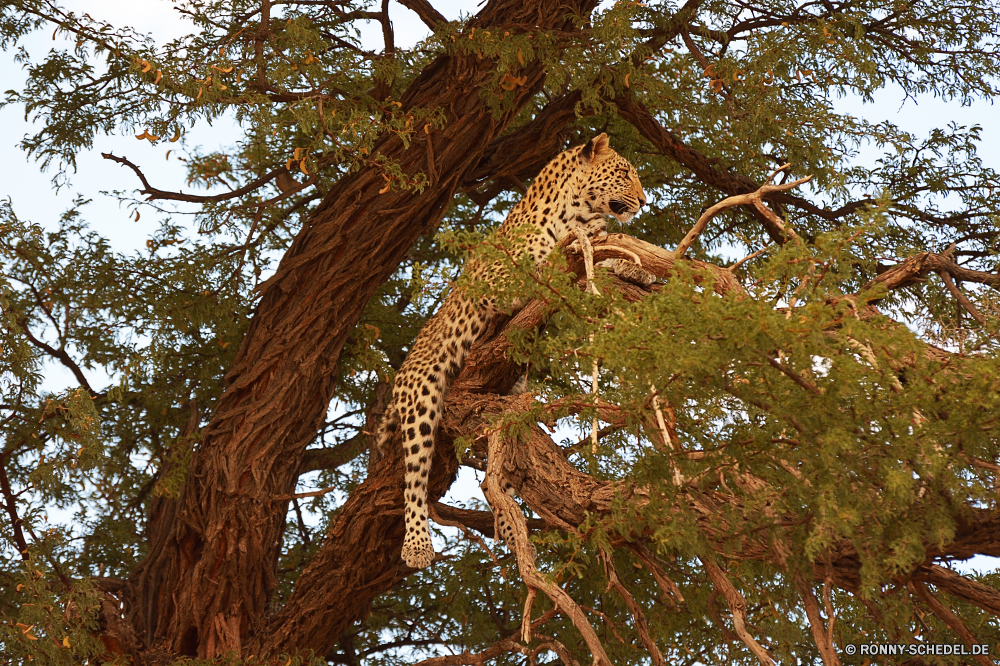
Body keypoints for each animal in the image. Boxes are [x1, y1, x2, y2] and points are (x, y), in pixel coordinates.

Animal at [376, 132, 648, 568]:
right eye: (624, 172)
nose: (644, 200)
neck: (574, 214)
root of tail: (402, 372)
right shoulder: (495, 283)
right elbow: (543, 267)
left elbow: (603, 266)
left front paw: (636, 269)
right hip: (423, 394)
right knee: (414, 475)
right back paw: (417, 544)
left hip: (508, 398)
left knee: (495, 472)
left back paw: (507, 523)